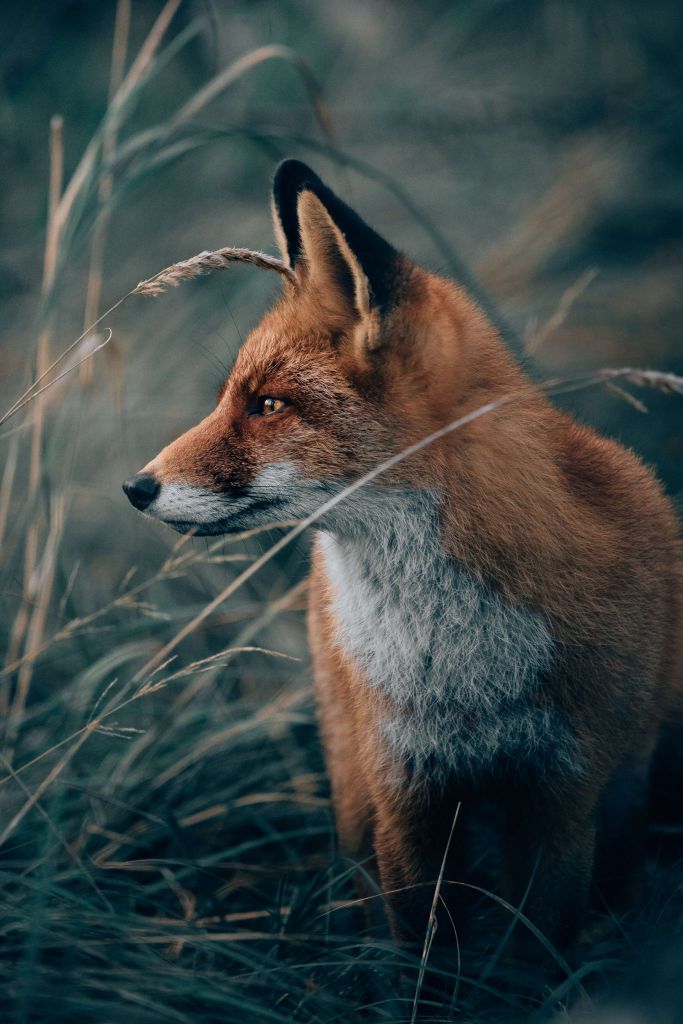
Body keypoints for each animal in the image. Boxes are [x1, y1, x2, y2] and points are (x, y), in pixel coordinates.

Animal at [124, 157, 683, 950]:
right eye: (236, 397)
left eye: (268, 405)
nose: (135, 487)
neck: (465, 671)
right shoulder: (404, 788)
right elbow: (422, 947)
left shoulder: (562, 796)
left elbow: (539, 946)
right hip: (355, 787)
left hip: (629, 786)